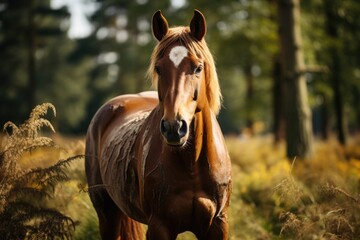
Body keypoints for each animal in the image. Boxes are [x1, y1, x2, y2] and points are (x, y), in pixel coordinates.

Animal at [85, 9, 231, 240]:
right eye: (158, 68)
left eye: (198, 68)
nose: (174, 127)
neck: (192, 165)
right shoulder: (159, 226)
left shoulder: (218, 225)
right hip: (107, 213)